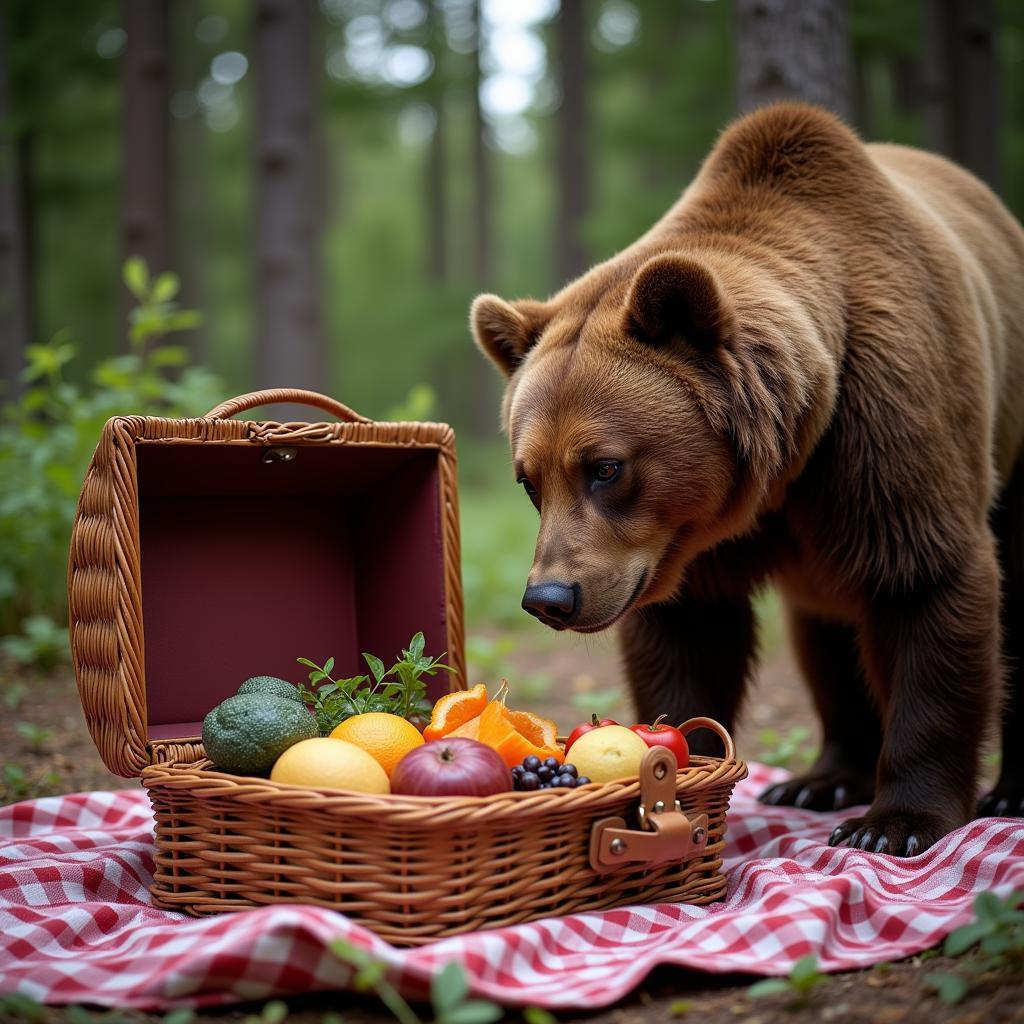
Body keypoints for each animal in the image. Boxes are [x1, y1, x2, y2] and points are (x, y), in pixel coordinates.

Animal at [468, 101, 1024, 856]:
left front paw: (895, 823)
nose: (550, 597)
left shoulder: (886, 436)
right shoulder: (684, 550)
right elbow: (688, 641)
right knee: (826, 629)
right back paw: (822, 778)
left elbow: (924, 584)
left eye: (605, 467)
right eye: (529, 479)